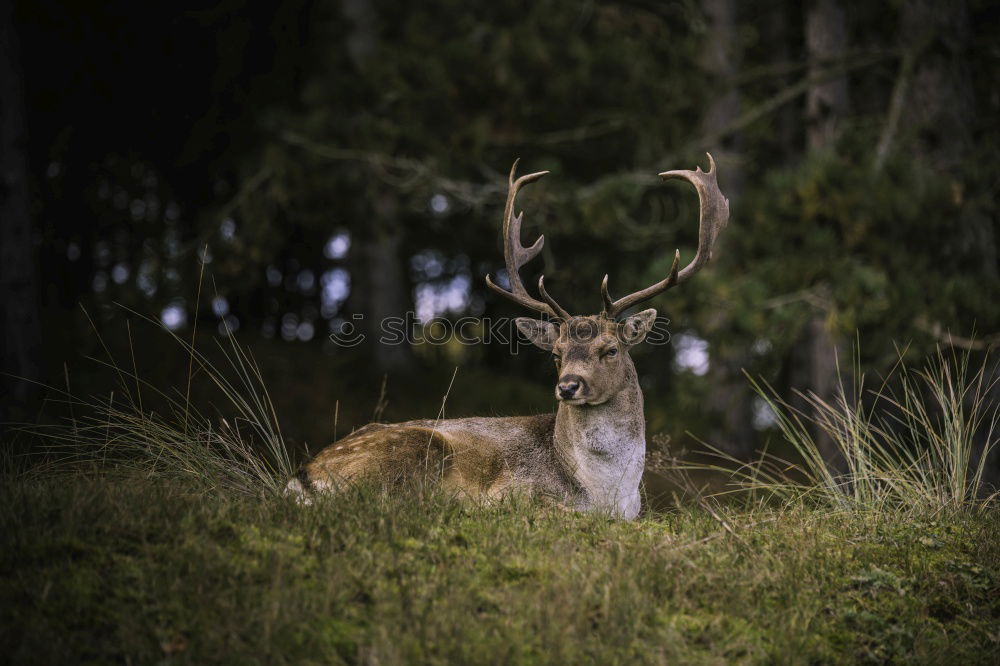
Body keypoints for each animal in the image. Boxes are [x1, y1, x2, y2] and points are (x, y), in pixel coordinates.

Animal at [286, 154, 732, 520]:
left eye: (610, 350)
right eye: (556, 353)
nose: (568, 386)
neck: (605, 492)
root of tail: (304, 474)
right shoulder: (515, 490)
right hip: (413, 453)